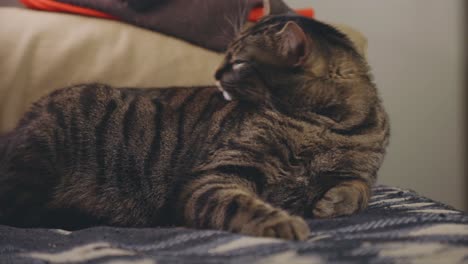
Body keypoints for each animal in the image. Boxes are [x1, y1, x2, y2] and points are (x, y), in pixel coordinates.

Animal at [0, 0, 388, 240]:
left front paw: (332, 201)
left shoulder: (359, 171)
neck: (325, 124)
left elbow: (360, 189)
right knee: (23, 214)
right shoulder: (216, 175)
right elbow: (240, 204)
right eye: (226, 53)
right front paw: (283, 223)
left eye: (239, 62)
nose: (215, 74)